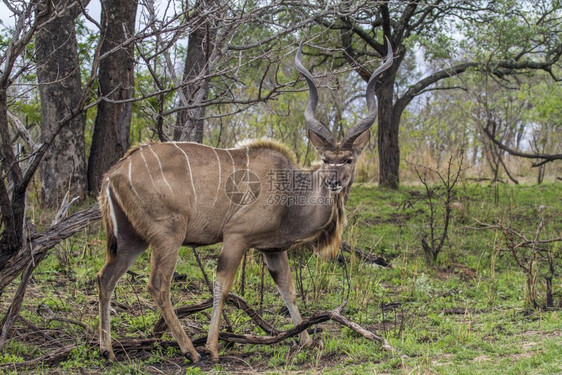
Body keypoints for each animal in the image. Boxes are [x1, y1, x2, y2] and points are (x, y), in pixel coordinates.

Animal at [96, 42, 392, 362]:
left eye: (348, 159)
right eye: (326, 159)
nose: (334, 181)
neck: (290, 193)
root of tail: (112, 173)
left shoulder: (273, 250)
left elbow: (288, 290)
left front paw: (306, 341)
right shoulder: (236, 236)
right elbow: (222, 287)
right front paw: (213, 347)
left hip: (133, 238)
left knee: (106, 277)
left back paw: (107, 350)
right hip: (168, 234)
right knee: (158, 285)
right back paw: (191, 351)